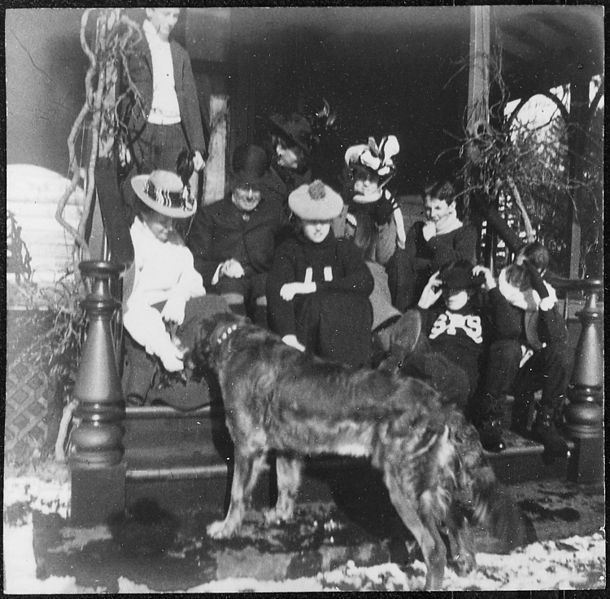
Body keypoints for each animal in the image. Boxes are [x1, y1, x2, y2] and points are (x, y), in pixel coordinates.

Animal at [192, 314, 524, 592]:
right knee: (459, 522)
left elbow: (237, 494)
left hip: (405, 489)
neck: (235, 340)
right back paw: (466, 566)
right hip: (432, 484)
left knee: (435, 548)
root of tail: (442, 404)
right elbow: (286, 486)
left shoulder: (246, 445)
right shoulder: (289, 448)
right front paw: (278, 516)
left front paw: (225, 529)